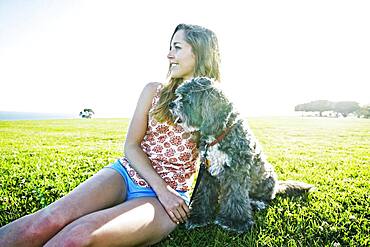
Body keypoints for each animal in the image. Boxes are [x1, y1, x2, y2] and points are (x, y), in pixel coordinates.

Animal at [169, 77, 314, 233]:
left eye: (187, 98)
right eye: (179, 95)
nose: (171, 104)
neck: (218, 135)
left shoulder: (236, 172)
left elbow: (235, 196)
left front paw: (234, 222)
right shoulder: (207, 172)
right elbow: (204, 194)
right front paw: (199, 217)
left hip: (267, 179)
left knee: (265, 198)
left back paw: (257, 203)